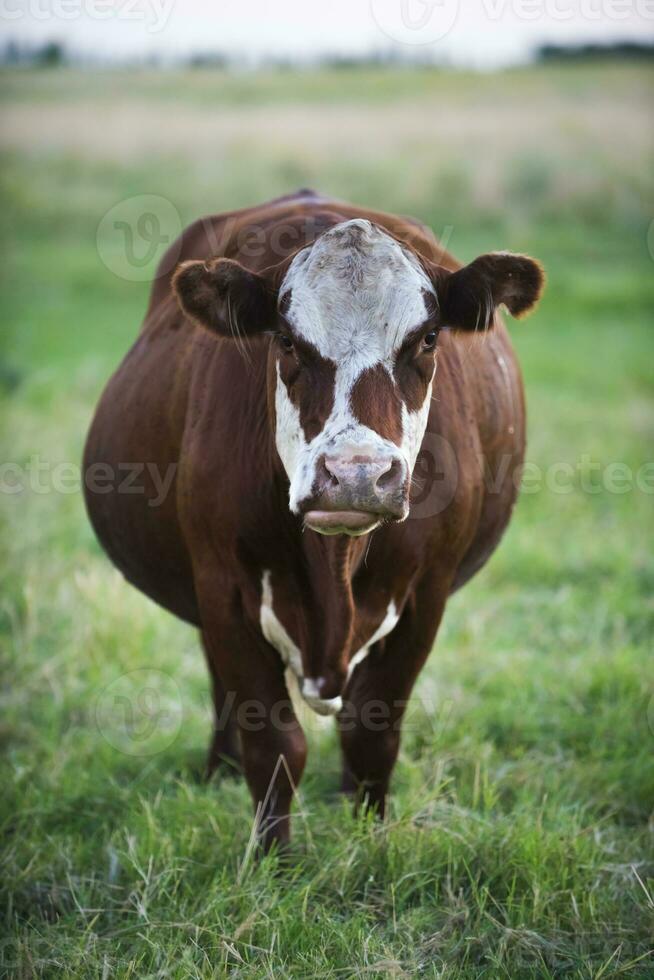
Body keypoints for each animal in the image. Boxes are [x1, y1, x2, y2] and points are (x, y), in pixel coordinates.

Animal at [84, 189, 544, 848]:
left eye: (428, 338)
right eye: (286, 341)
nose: (355, 474)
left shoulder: (427, 594)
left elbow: (372, 733)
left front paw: (370, 840)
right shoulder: (224, 586)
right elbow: (274, 744)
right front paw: (271, 858)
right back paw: (218, 771)